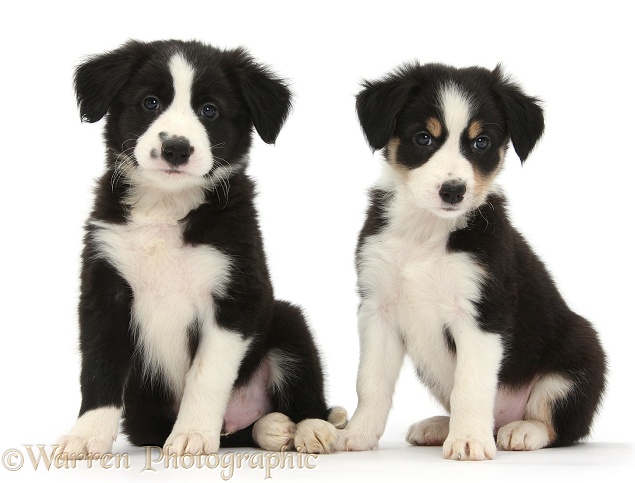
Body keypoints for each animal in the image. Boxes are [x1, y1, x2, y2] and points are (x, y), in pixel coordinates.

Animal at [58, 40, 348, 458]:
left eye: (209, 110)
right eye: (150, 102)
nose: (176, 148)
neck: (167, 207)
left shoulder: (235, 295)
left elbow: (206, 374)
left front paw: (193, 434)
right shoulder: (105, 289)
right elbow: (100, 368)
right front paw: (85, 436)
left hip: (288, 320)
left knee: (305, 392)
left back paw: (312, 427)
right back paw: (273, 428)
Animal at [336, 63, 608, 462]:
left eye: (481, 142)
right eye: (423, 138)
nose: (453, 191)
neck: (426, 232)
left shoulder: (481, 314)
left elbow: (471, 385)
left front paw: (467, 441)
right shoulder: (377, 308)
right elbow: (371, 381)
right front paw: (357, 434)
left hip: (579, 358)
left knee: (560, 426)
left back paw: (520, 430)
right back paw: (440, 426)